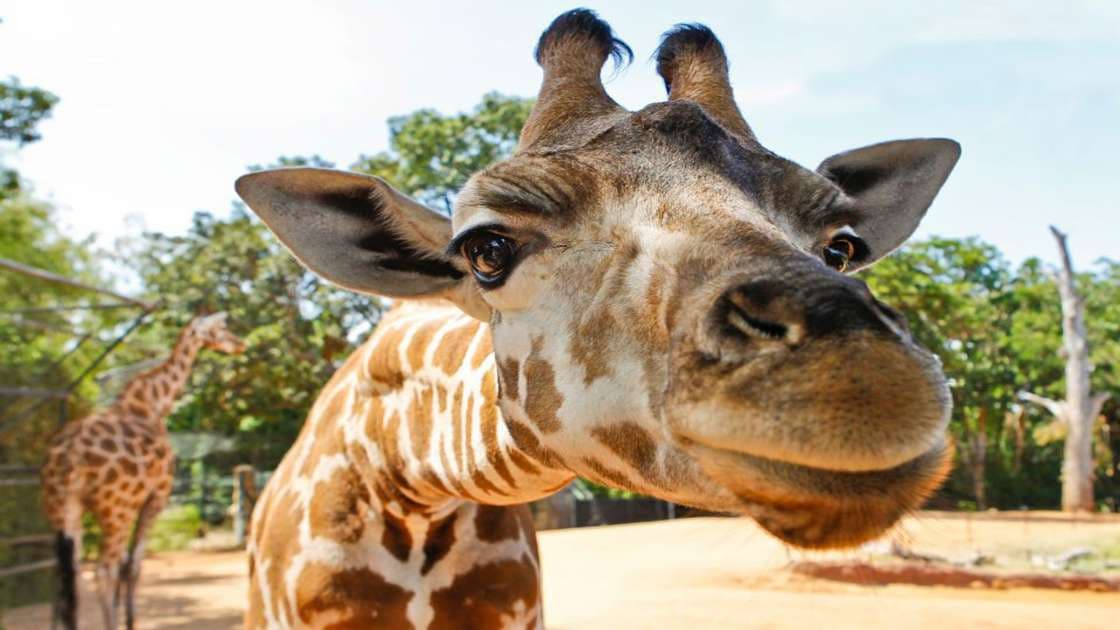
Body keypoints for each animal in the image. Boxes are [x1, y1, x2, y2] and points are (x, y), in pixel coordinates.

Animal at [40, 312, 245, 630]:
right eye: (222, 327)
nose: (240, 344)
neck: (155, 403)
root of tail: (67, 458)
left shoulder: (134, 501)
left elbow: (126, 564)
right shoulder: (157, 496)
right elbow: (134, 565)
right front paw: (129, 621)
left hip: (64, 508)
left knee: (67, 573)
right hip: (114, 510)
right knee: (102, 569)